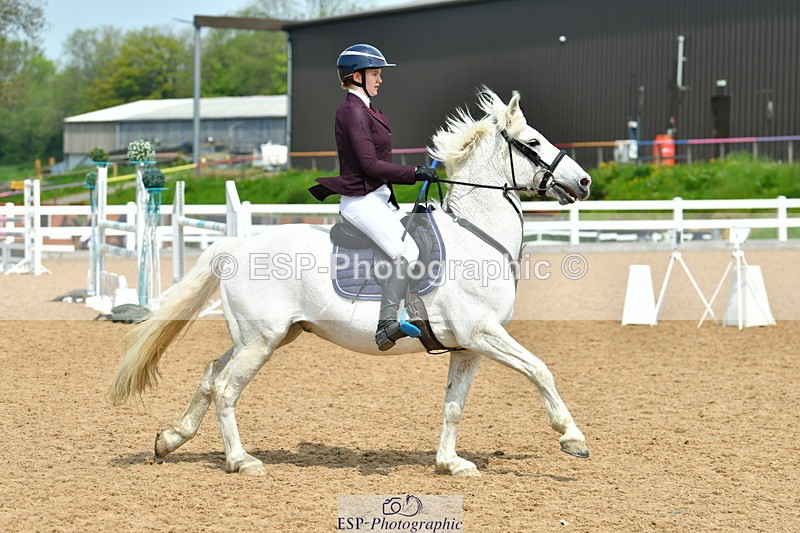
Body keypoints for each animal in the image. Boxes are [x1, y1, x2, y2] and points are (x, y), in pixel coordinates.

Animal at [110, 88, 592, 476]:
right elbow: (540, 370)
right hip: (261, 340)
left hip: (265, 336)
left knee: (212, 375)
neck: (475, 235)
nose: (585, 181)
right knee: (227, 388)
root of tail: (237, 247)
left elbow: (454, 405)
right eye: (533, 142)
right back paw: (240, 461)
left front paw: (450, 463)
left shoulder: (468, 346)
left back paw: (170, 439)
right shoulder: (483, 332)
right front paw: (571, 437)